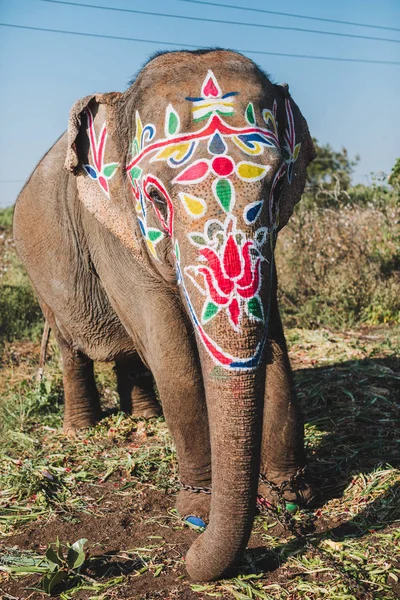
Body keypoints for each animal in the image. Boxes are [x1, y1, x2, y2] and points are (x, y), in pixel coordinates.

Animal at [13, 48, 316, 580]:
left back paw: (147, 417)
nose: (189, 558)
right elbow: (173, 354)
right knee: (75, 347)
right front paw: (196, 508)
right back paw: (82, 428)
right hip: (39, 274)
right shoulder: (114, 232)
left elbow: (271, 341)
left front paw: (291, 495)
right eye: (154, 197)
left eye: (280, 183)